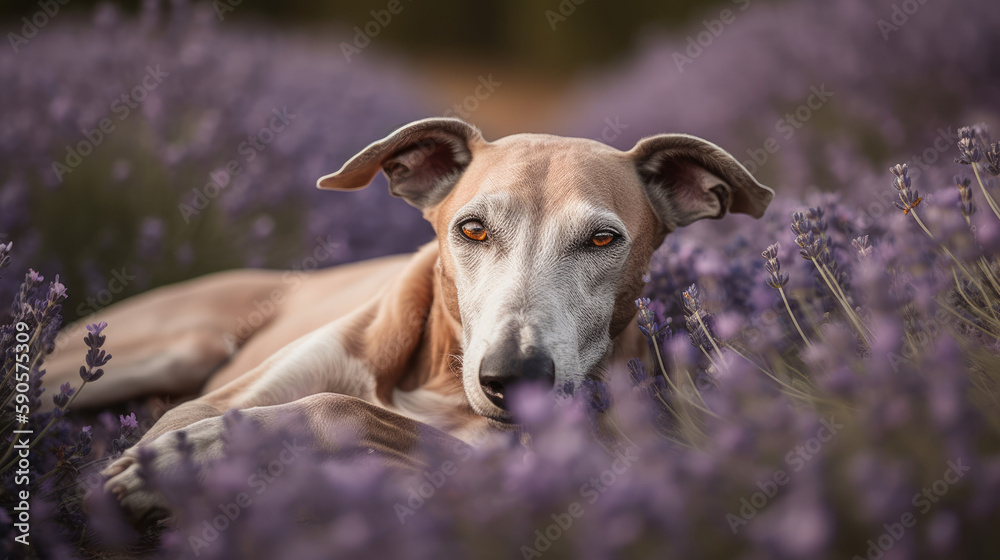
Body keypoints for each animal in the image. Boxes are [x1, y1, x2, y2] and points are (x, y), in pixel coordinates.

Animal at [41, 116, 772, 524]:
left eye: (602, 239)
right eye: (472, 228)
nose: (513, 378)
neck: (438, 383)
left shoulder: (494, 473)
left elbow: (347, 409)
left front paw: (195, 460)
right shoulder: (203, 404)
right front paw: (179, 460)